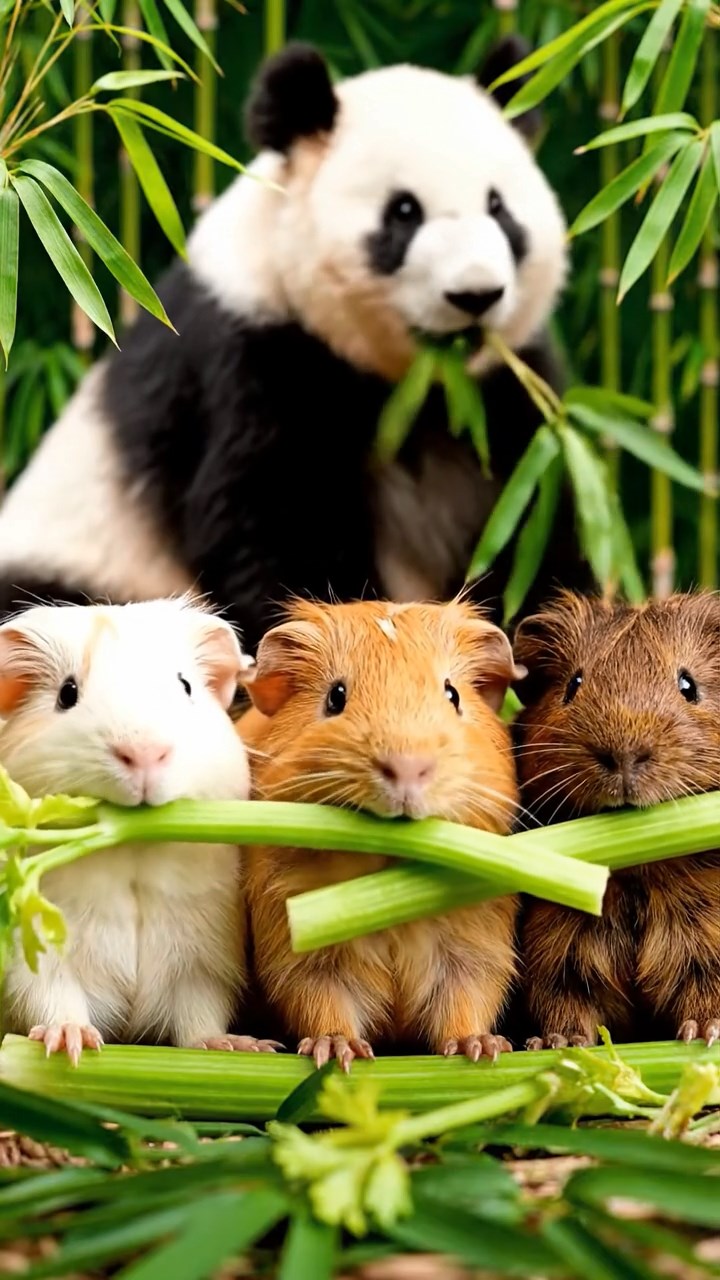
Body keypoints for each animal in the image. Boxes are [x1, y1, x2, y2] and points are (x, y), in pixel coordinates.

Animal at [0, 38, 587, 652]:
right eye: (404, 212)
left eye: (499, 208)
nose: (476, 294)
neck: (415, 383)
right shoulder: (251, 360)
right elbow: (272, 520)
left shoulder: (504, 392)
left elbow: (531, 515)